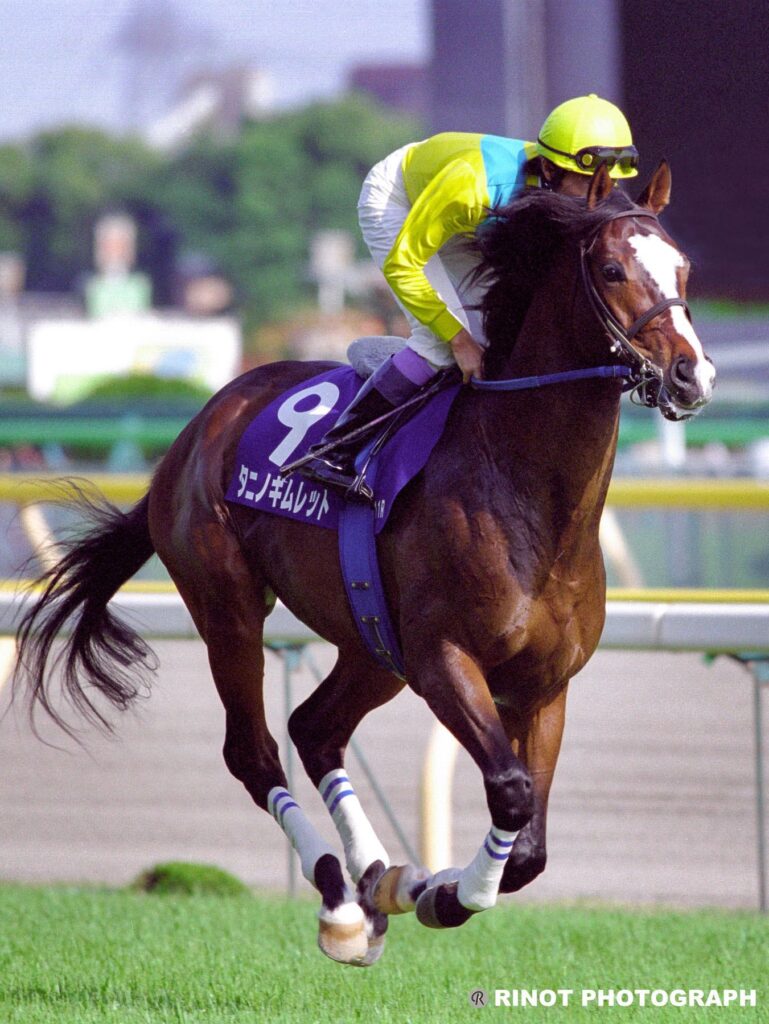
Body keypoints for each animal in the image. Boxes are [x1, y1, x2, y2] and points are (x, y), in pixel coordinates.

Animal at [12, 162, 715, 966]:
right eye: (610, 269)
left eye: (683, 268)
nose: (692, 376)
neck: (525, 490)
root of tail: (194, 432)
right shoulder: (443, 658)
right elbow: (508, 791)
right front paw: (444, 894)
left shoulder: (545, 687)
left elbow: (530, 847)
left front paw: (427, 887)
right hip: (229, 605)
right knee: (253, 750)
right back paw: (341, 901)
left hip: (373, 644)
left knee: (315, 727)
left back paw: (378, 877)